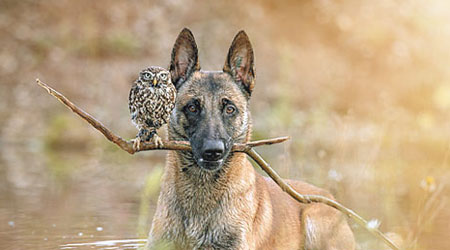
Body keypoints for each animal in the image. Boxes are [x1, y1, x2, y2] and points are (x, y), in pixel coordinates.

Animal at [145, 28, 356, 249]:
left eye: (230, 109)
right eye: (193, 107)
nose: (213, 151)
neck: (202, 191)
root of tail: (327, 195)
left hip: (314, 220)